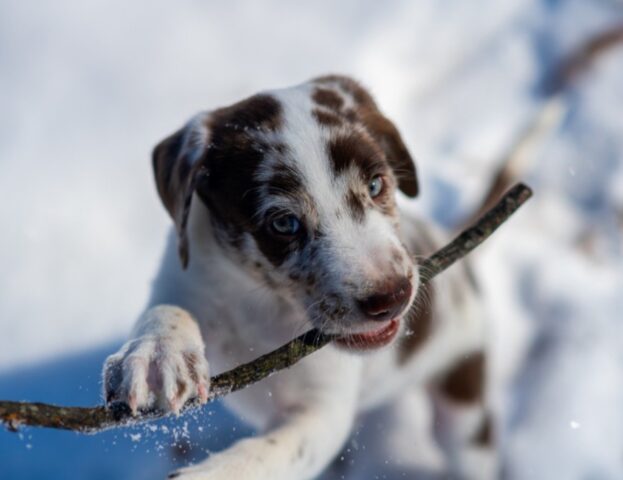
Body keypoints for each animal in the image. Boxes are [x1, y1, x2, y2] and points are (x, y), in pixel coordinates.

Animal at [103, 76, 498, 480]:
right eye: (283, 224)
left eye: (375, 185)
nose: (392, 297)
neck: (260, 300)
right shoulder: (183, 276)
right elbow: (167, 309)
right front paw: (156, 355)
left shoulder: (321, 411)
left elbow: (269, 454)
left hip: (462, 404)